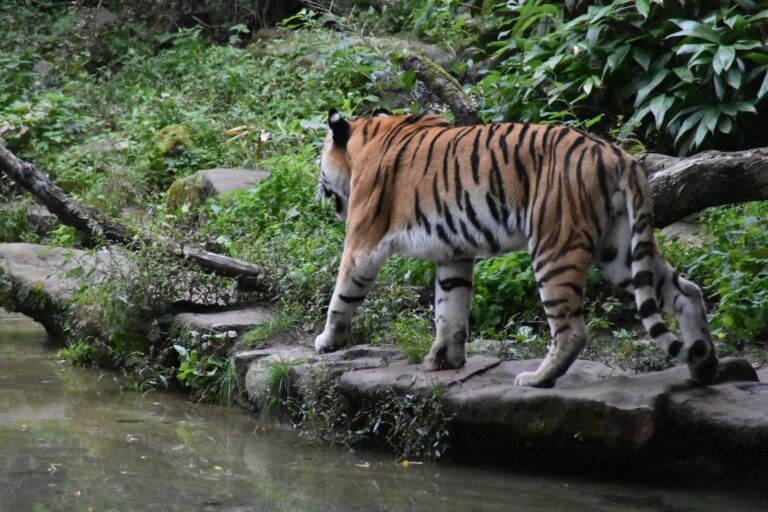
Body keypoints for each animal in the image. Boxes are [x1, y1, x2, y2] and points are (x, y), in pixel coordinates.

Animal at [314, 108, 718, 388]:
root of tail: (620, 156)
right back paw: (703, 366)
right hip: (618, 250)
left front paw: (328, 341)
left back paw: (537, 379)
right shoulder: (453, 252)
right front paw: (445, 360)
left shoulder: (364, 240)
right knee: (686, 292)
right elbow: (451, 307)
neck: (365, 140)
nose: (319, 188)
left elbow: (343, 293)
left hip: (554, 246)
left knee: (572, 329)